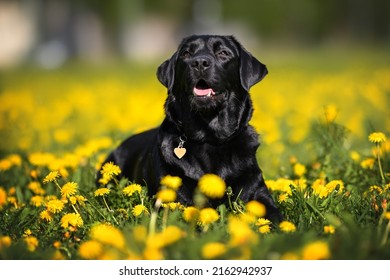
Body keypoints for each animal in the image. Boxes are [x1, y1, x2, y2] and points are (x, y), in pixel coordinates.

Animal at [99, 35, 282, 222]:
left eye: (223, 53)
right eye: (186, 54)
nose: (200, 62)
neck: (209, 137)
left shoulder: (257, 192)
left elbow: (276, 217)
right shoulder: (177, 197)